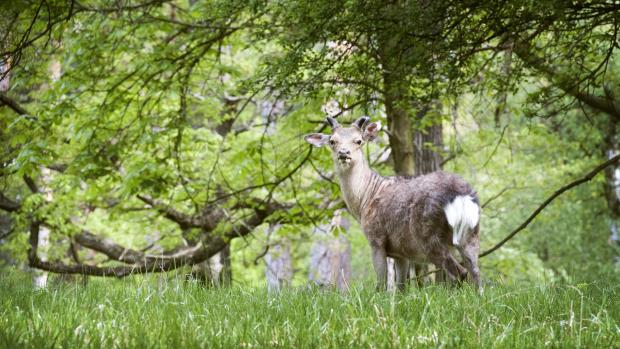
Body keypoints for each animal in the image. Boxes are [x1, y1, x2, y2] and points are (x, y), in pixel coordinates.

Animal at [302, 115, 482, 290]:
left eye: (359, 140)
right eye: (332, 141)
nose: (343, 152)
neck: (364, 201)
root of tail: (460, 194)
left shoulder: (376, 239)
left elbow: (381, 284)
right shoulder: (400, 251)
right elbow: (401, 287)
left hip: (428, 235)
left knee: (460, 272)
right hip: (471, 233)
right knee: (476, 272)